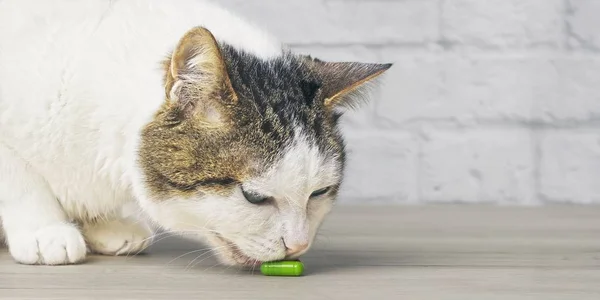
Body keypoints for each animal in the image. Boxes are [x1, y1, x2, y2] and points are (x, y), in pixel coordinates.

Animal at [0, 0, 390, 268]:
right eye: (253, 197)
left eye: (320, 192)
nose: (298, 246)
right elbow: (20, 180)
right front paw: (45, 230)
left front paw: (104, 224)